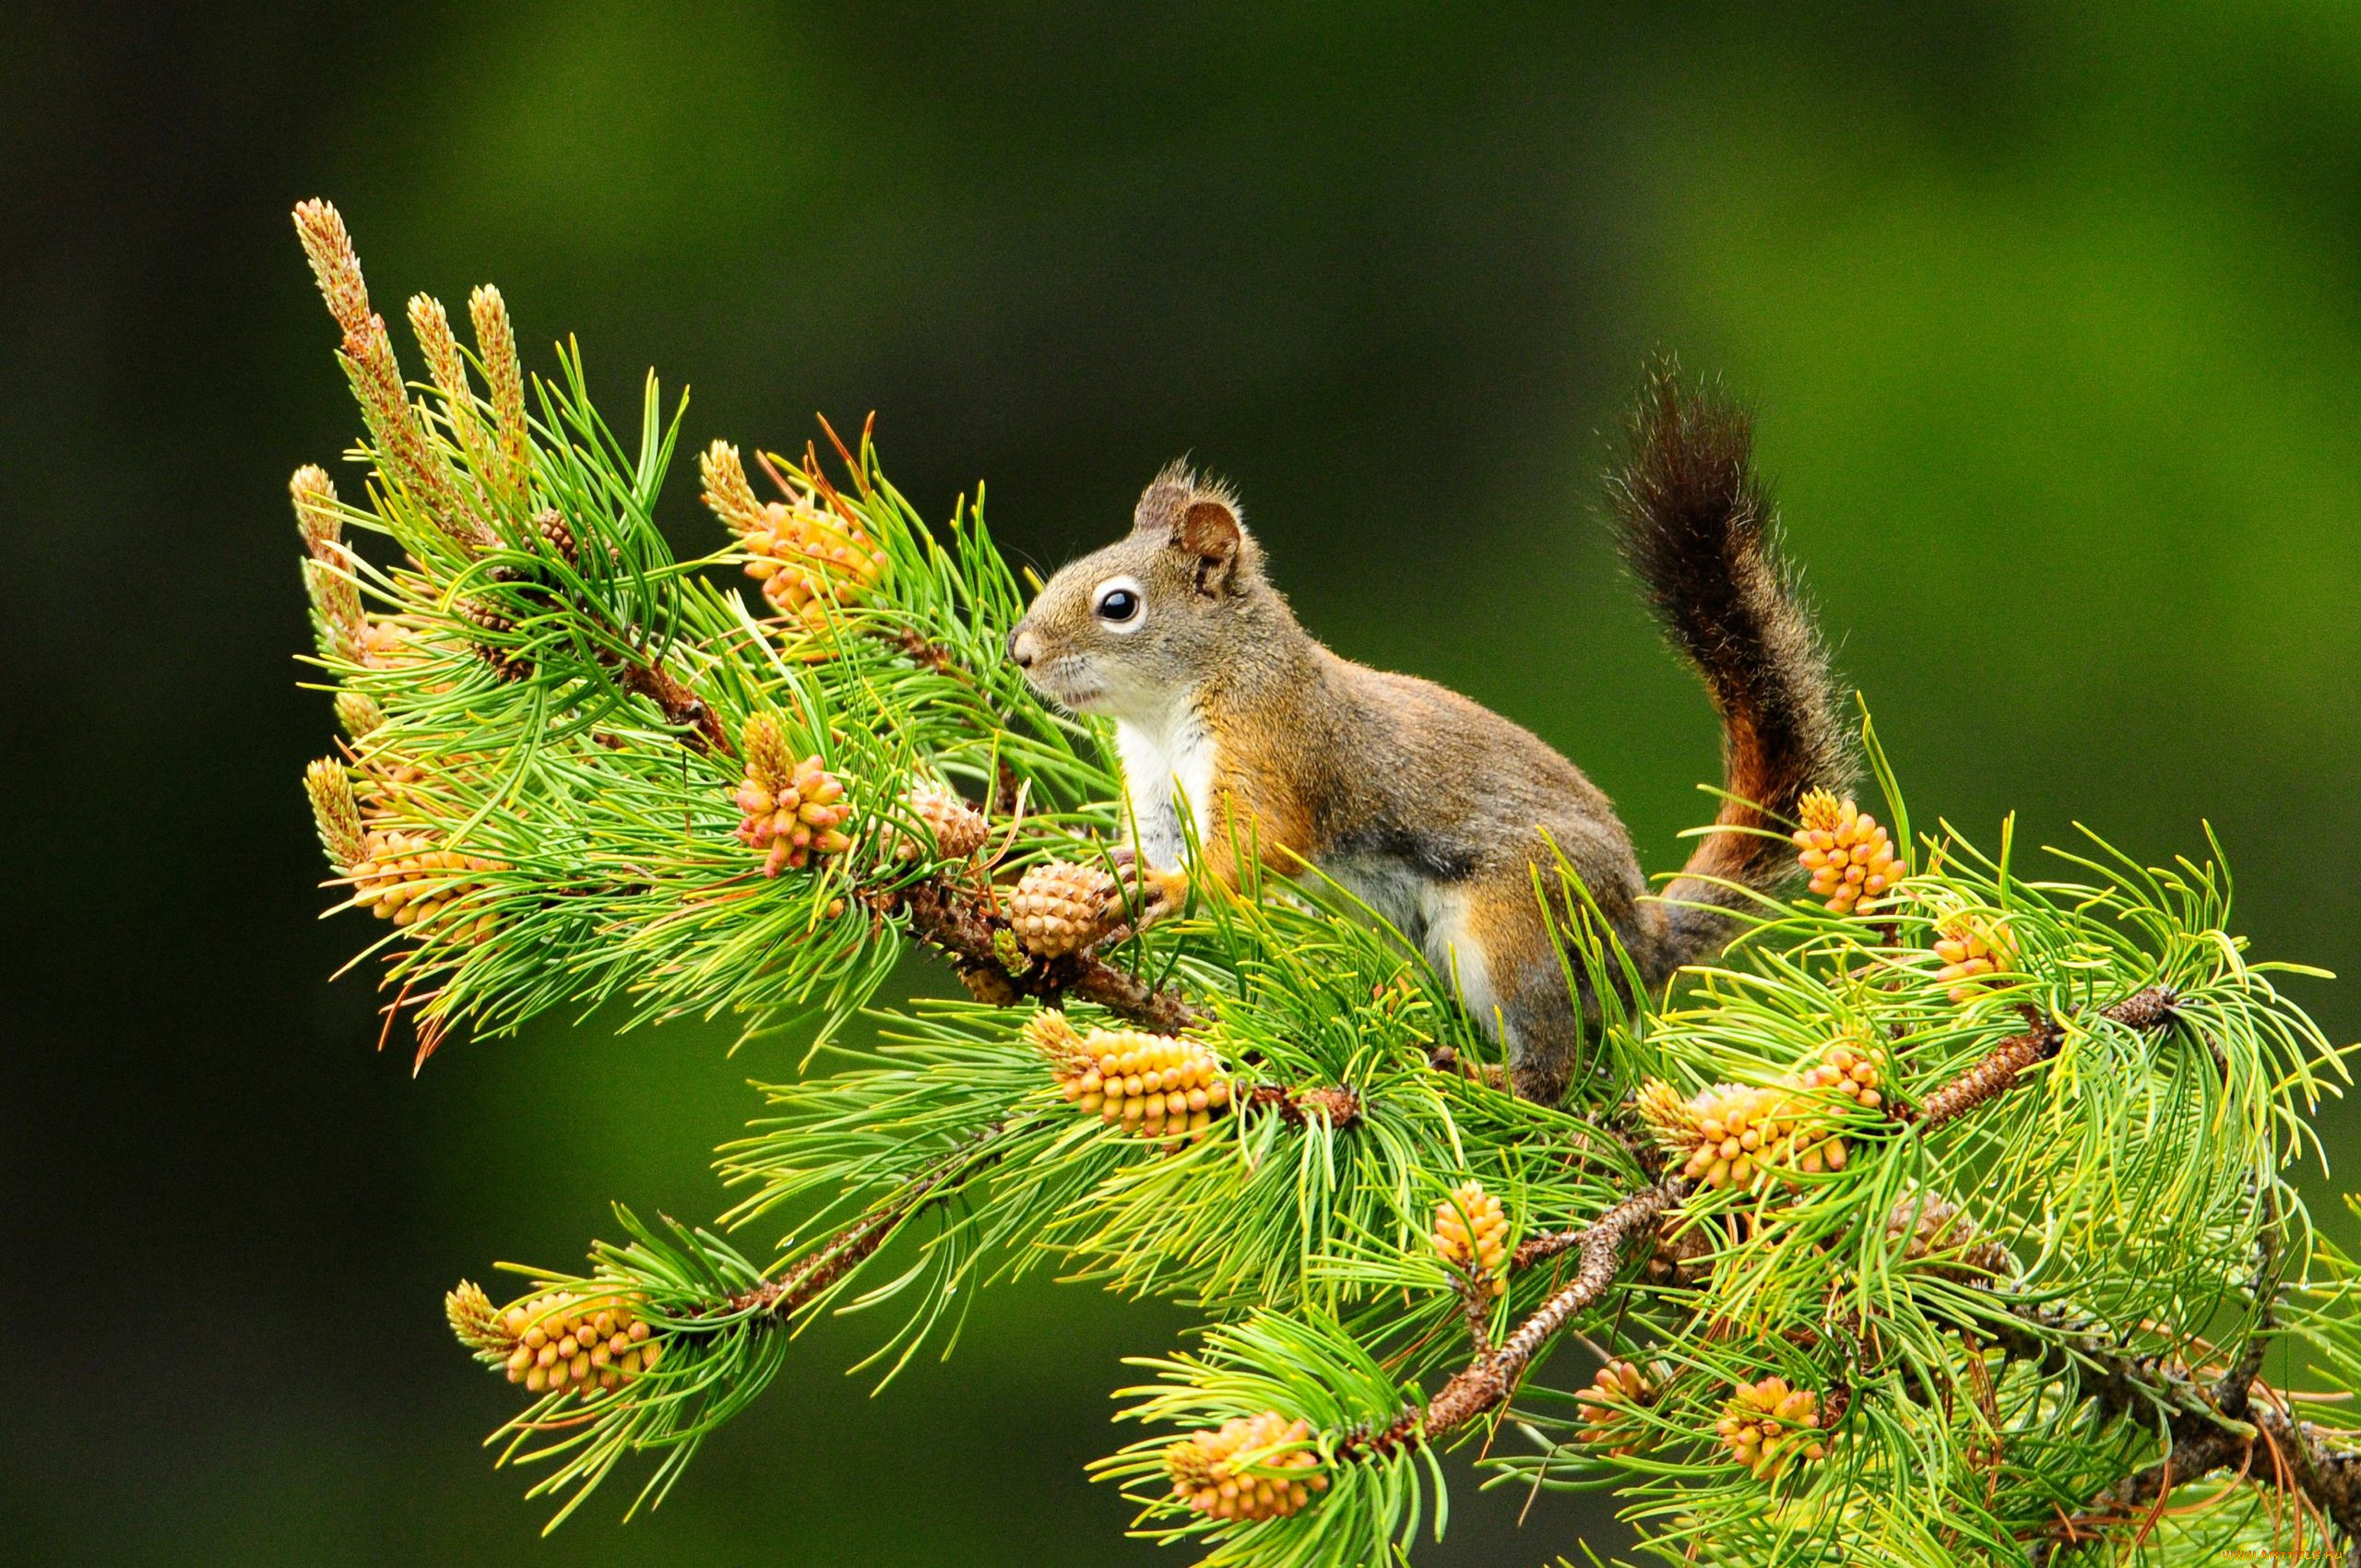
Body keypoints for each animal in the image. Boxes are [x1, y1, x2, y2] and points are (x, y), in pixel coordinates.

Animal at [996, 368, 1841, 1100]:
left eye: (1119, 605)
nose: (1021, 651)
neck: (1166, 714)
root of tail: (1638, 935)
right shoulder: (1157, 789)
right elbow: (1160, 843)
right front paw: (1111, 874)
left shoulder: (1274, 746)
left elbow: (1258, 844)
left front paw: (1172, 888)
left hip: (1514, 924)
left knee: (1554, 1056)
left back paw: (1491, 1079)